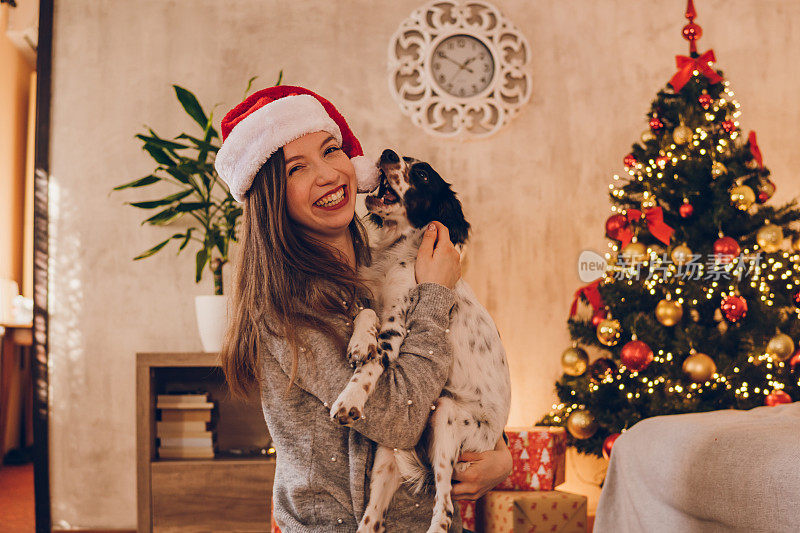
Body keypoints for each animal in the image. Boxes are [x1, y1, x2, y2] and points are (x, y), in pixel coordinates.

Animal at [330, 149, 512, 532]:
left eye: (424, 174)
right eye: (403, 157)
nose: (387, 153)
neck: (395, 251)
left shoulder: (397, 330)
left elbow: (370, 368)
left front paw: (349, 401)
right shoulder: (375, 301)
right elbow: (365, 314)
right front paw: (359, 343)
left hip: (446, 414)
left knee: (444, 509)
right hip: (389, 454)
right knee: (372, 520)